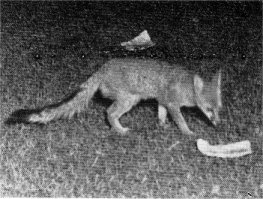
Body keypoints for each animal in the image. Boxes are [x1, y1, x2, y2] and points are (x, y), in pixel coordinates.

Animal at [6, 58, 223, 134]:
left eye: (218, 109)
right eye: (208, 109)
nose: (218, 124)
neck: (187, 85)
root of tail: (102, 68)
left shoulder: (163, 101)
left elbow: (161, 113)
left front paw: (162, 125)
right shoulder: (173, 104)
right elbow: (181, 121)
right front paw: (188, 133)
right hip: (129, 100)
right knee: (109, 112)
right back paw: (119, 130)